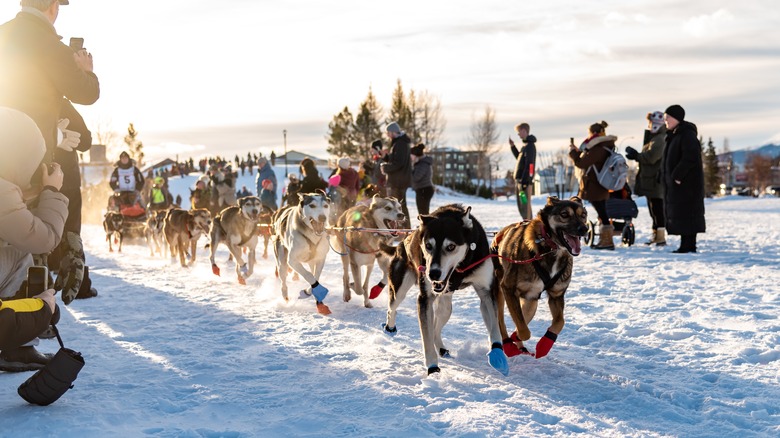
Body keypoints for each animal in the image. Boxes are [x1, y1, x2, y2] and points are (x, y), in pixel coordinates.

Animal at [494, 196, 584, 360]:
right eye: (564, 214)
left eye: (583, 215)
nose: (584, 229)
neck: (550, 250)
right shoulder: (508, 288)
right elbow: (524, 331)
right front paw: (516, 338)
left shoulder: (556, 295)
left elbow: (560, 322)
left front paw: (544, 344)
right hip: (500, 294)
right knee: (501, 321)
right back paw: (508, 344)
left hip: (531, 302)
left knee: (523, 317)